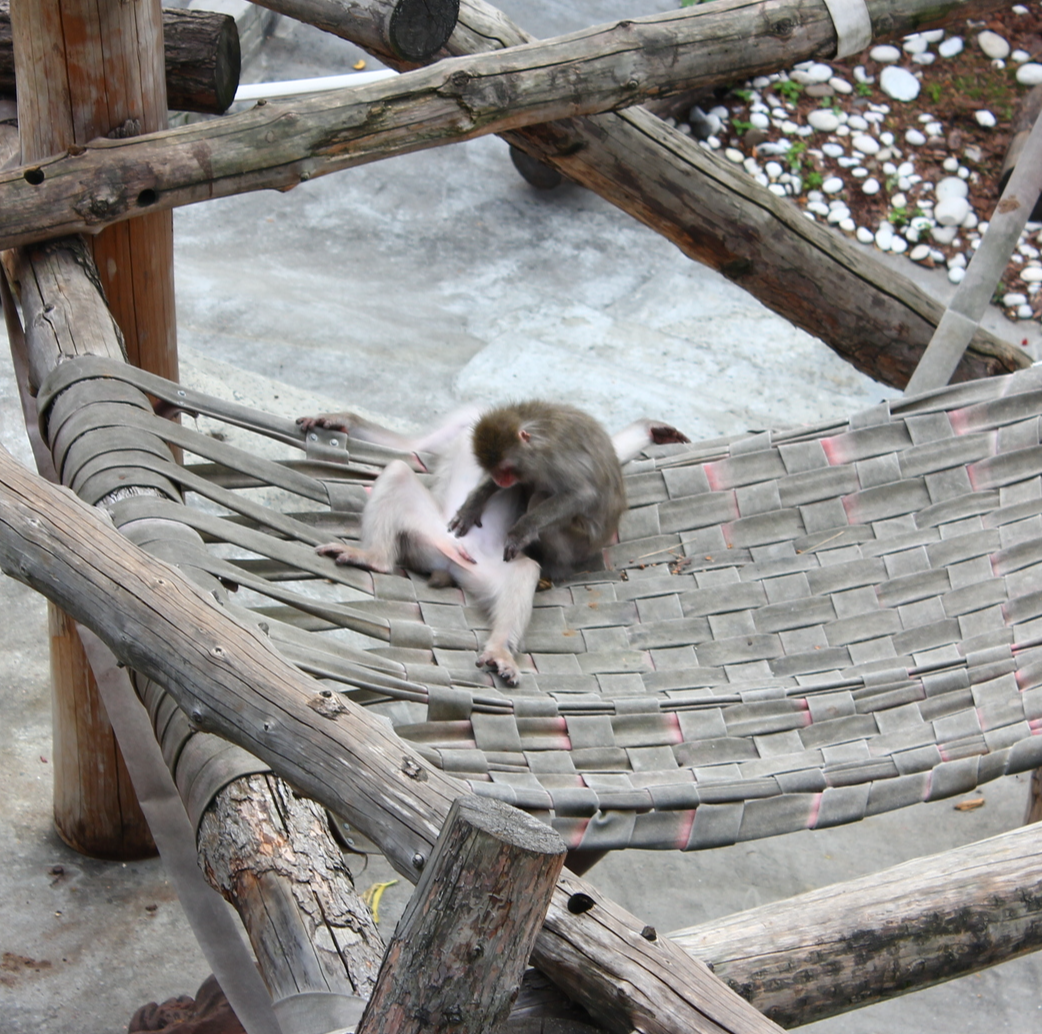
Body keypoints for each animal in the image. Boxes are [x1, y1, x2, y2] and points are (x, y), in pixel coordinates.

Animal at [297, 404, 689, 685]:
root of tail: (449, 564)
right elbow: (411, 449)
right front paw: (340, 421)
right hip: (431, 536)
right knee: (398, 470)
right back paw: (374, 557)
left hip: (483, 567)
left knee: (525, 568)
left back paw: (499, 649)